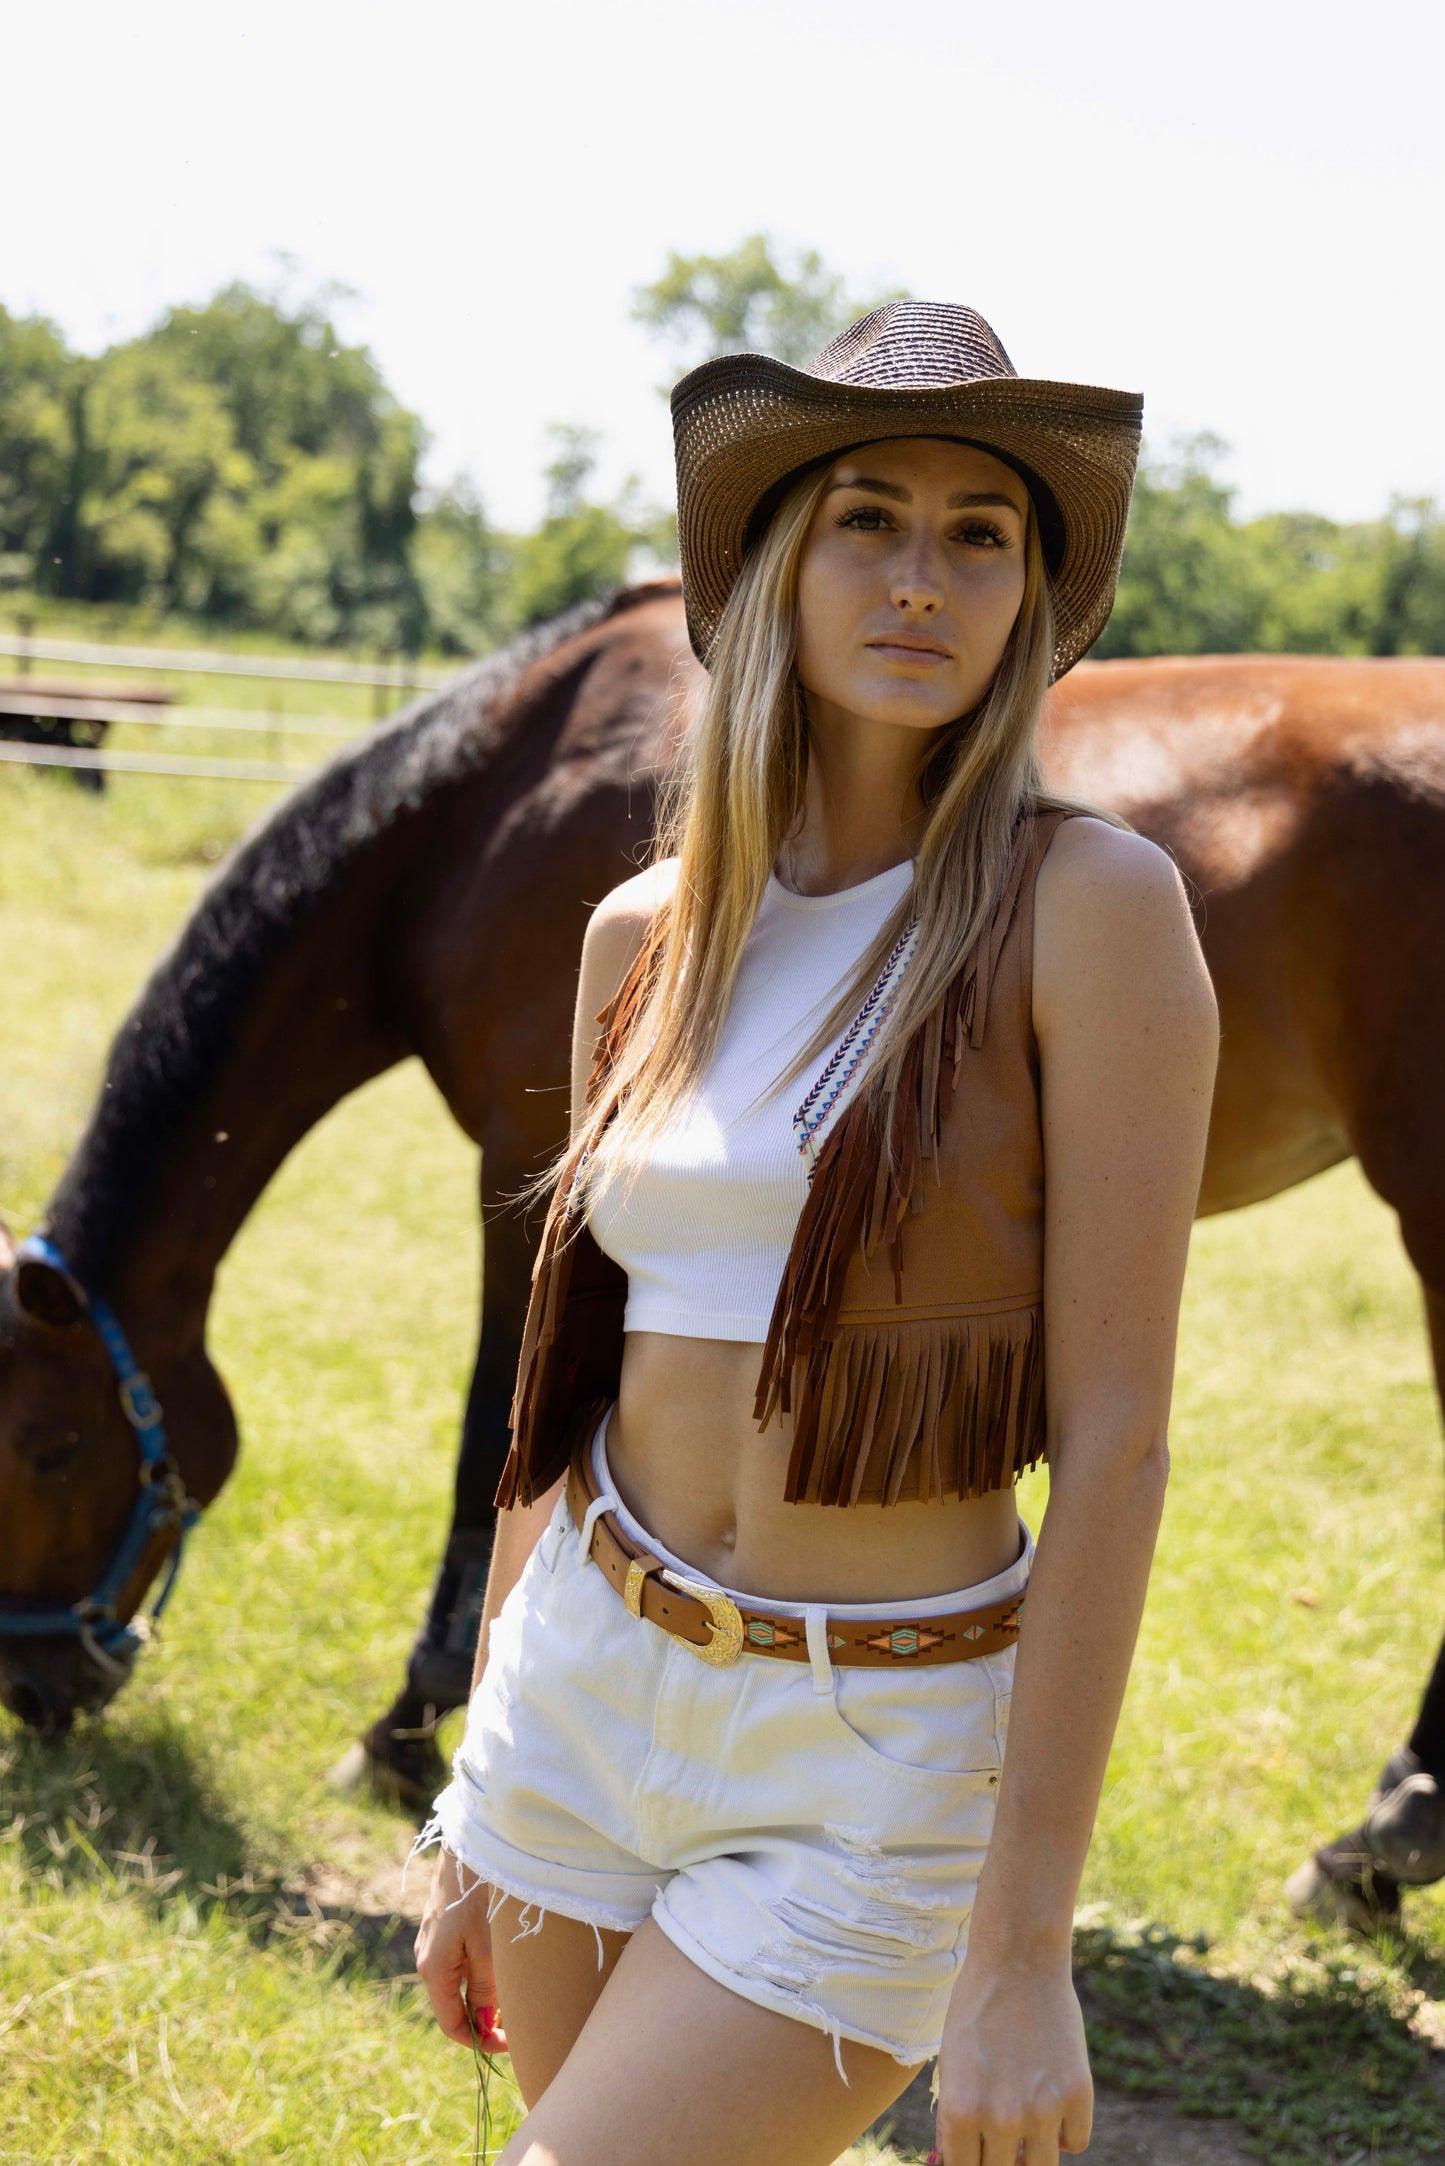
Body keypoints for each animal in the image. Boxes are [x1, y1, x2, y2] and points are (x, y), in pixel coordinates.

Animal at [2, 580, 1445, 1932]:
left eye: (49, 1447)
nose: (38, 1687)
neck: (484, 810)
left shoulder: (524, 1167)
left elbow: (490, 1439)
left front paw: (405, 1727)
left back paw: (1377, 1841)